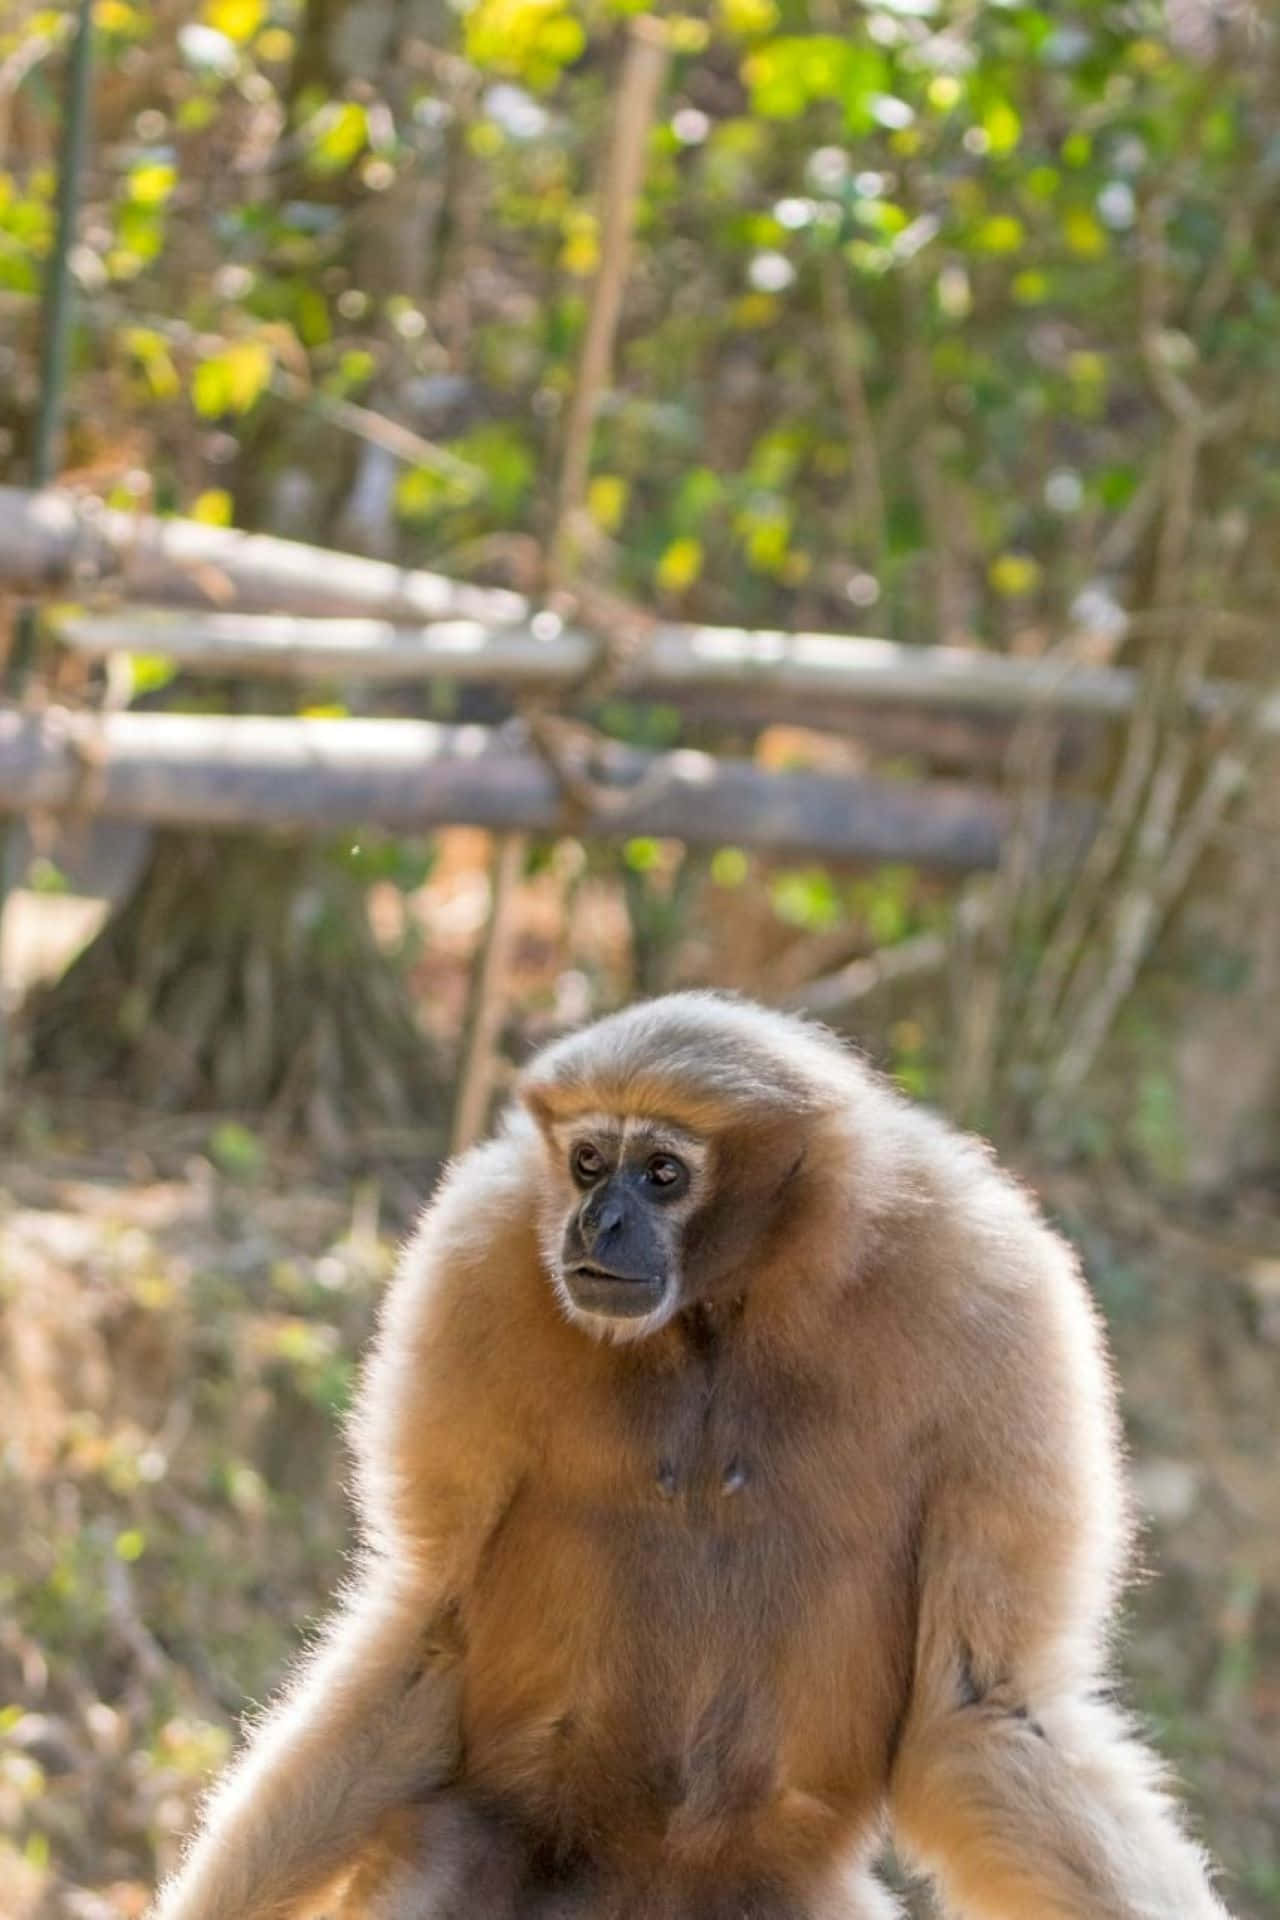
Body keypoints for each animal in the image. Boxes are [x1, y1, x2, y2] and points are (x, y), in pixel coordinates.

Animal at [153, 991, 1233, 1920]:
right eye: (590, 1160)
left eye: (662, 1173)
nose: (597, 1220)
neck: (727, 1302)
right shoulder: (480, 1252)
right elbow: (431, 1625)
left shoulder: (994, 1289)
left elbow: (984, 1700)